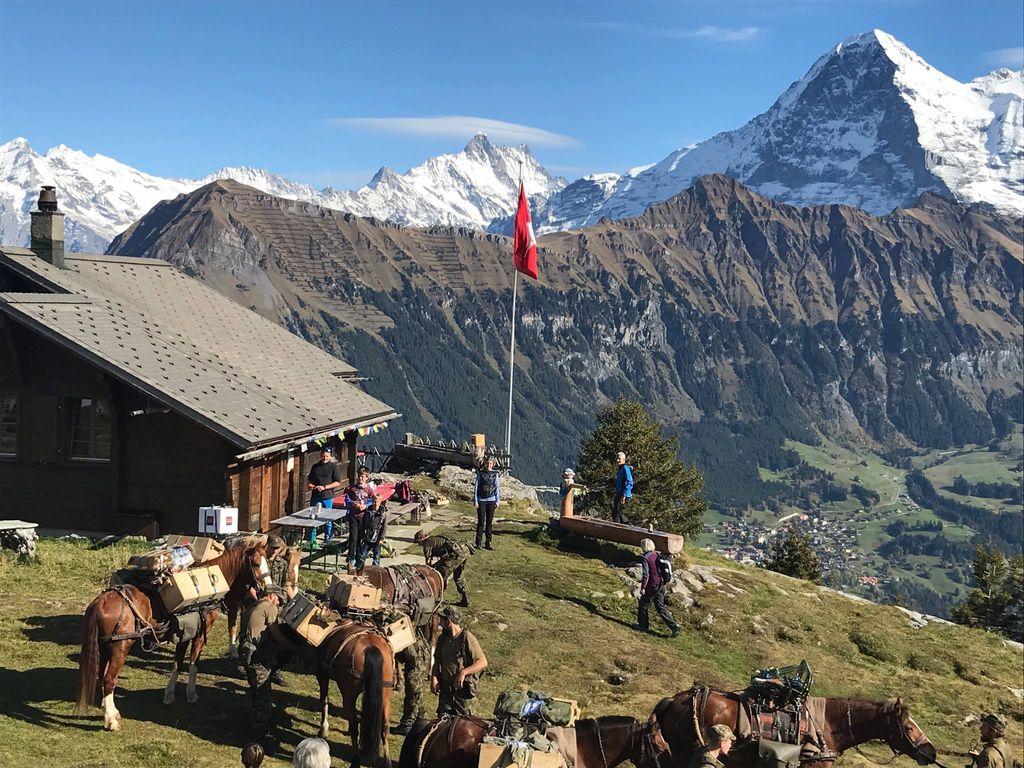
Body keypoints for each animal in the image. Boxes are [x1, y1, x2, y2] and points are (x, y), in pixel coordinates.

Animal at [75, 540, 268, 733]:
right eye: (256, 563)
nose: (268, 589)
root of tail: (102, 601)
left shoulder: (184, 634)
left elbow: (177, 664)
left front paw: (169, 695)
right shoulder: (198, 634)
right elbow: (193, 664)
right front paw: (191, 694)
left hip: (104, 646)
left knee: (101, 675)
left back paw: (108, 709)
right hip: (120, 647)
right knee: (109, 679)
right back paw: (111, 720)